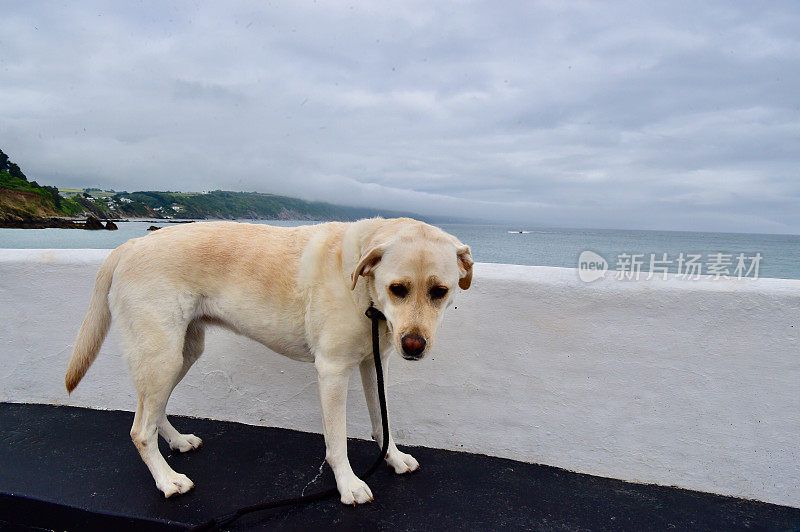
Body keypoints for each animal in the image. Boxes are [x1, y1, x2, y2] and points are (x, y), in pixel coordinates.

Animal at [67, 216, 476, 502]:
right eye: (398, 289)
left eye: (440, 291)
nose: (414, 345)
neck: (364, 288)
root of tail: (132, 242)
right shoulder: (332, 371)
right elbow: (337, 441)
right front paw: (348, 485)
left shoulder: (375, 365)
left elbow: (382, 421)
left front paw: (392, 457)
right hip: (162, 355)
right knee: (140, 429)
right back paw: (167, 480)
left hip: (182, 353)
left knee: (153, 413)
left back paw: (177, 441)